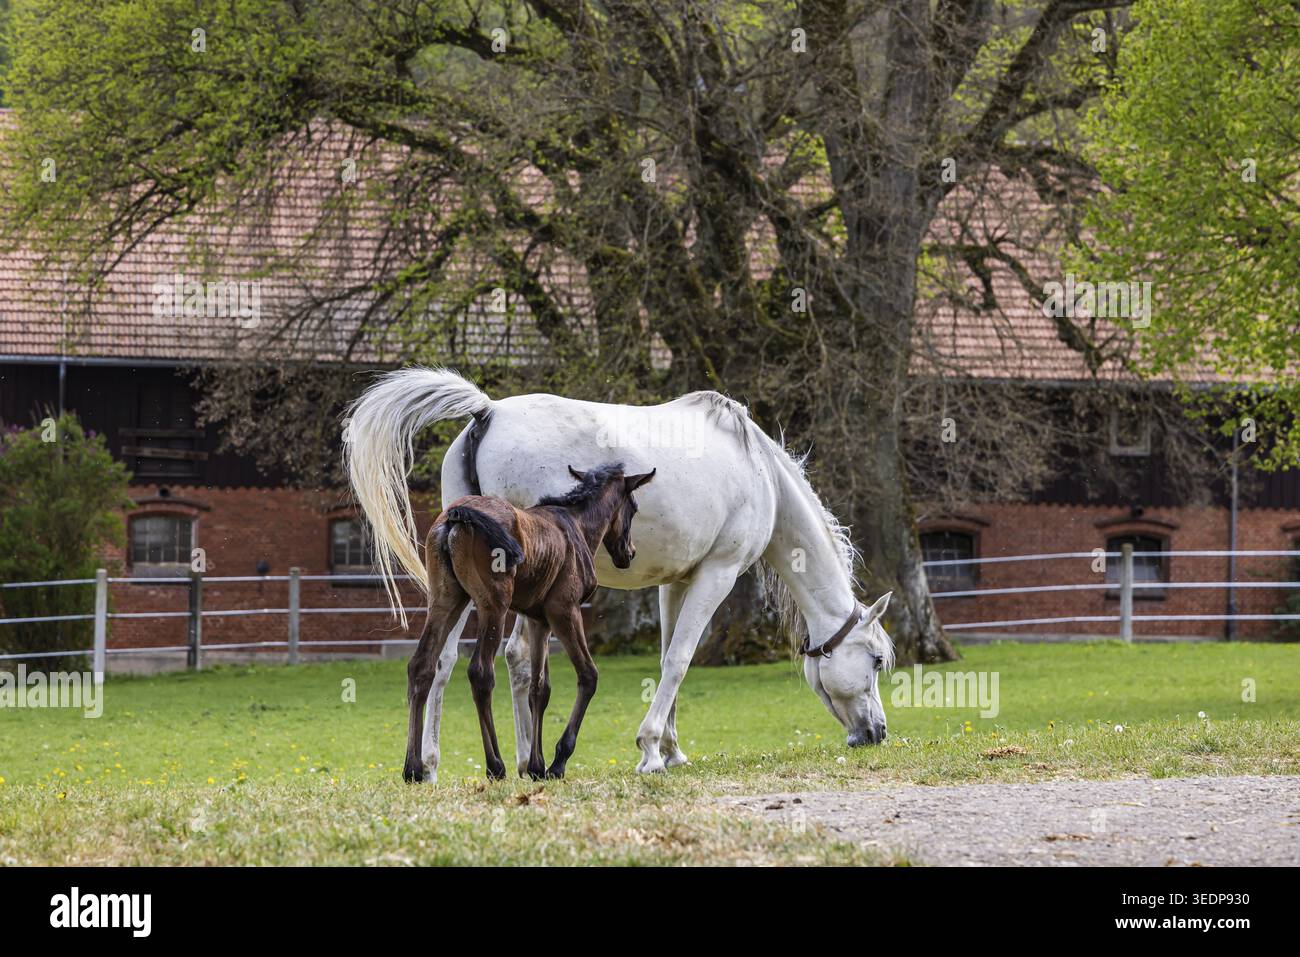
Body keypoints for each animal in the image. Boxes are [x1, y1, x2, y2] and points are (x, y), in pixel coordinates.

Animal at [403, 464, 655, 782]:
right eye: (633, 508)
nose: (629, 553)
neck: (577, 525)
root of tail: (456, 516)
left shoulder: (539, 621)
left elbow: (539, 689)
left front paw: (536, 765)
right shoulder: (564, 610)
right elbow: (588, 675)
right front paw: (557, 761)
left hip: (445, 600)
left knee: (421, 666)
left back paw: (413, 768)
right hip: (493, 605)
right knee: (480, 672)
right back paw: (495, 765)